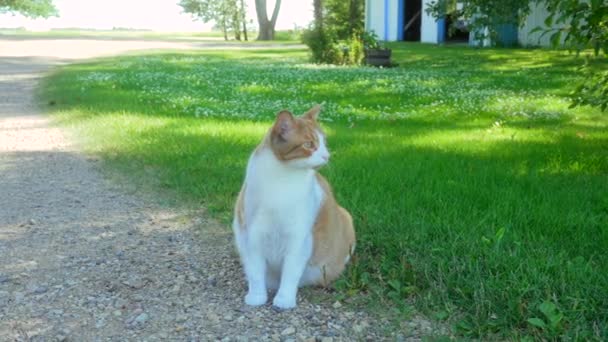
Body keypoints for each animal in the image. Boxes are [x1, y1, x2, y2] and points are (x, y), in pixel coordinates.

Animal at [233, 105, 356, 310]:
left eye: (324, 142)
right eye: (309, 144)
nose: (326, 155)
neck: (281, 182)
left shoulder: (298, 239)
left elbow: (290, 272)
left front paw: (284, 300)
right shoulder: (253, 236)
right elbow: (256, 272)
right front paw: (257, 297)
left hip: (346, 218)